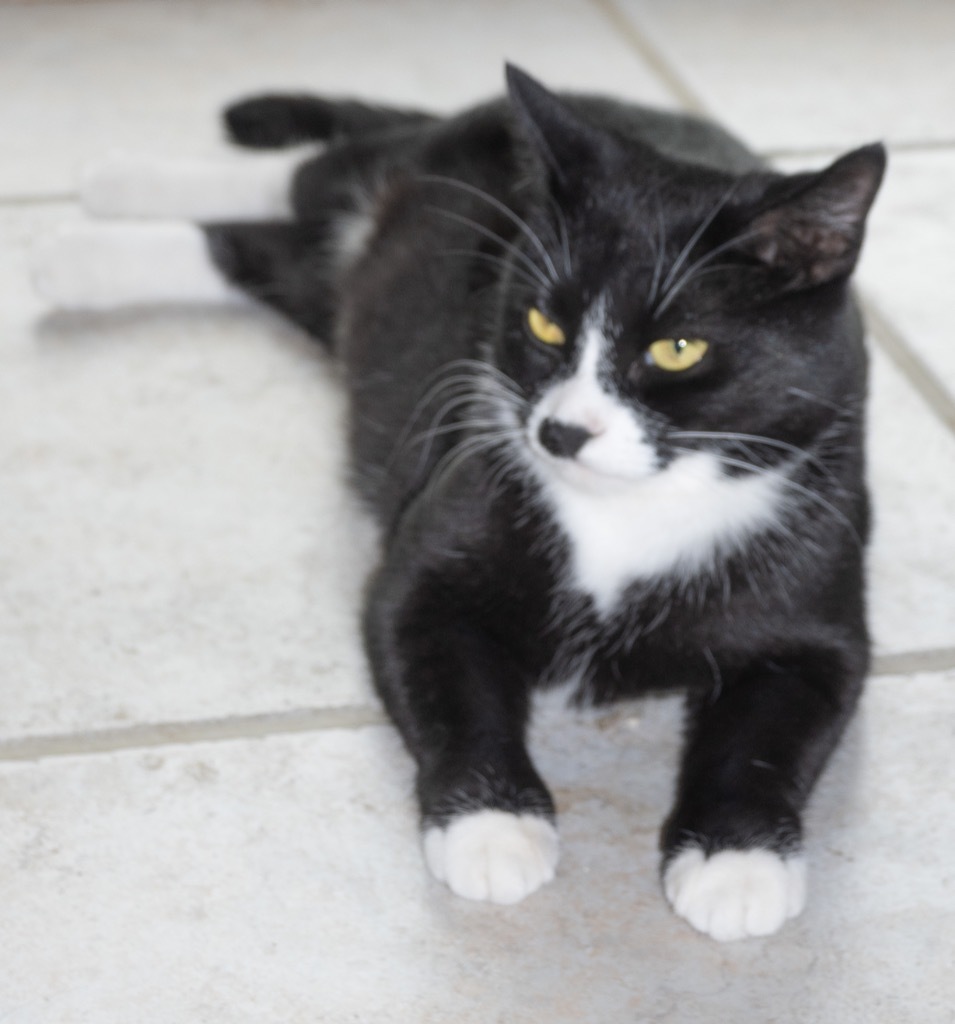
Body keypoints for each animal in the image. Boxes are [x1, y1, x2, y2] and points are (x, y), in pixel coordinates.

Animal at [35, 66, 888, 942]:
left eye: (676, 348)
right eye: (542, 321)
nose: (560, 431)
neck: (631, 511)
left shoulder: (816, 574)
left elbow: (775, 730)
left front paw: (736, 862)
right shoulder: (440, 541)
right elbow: (449, 677)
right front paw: (493, 827)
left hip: (346, 302)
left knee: (272, 249)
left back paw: (94, 238)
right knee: (306, 177)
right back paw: (101, 203)